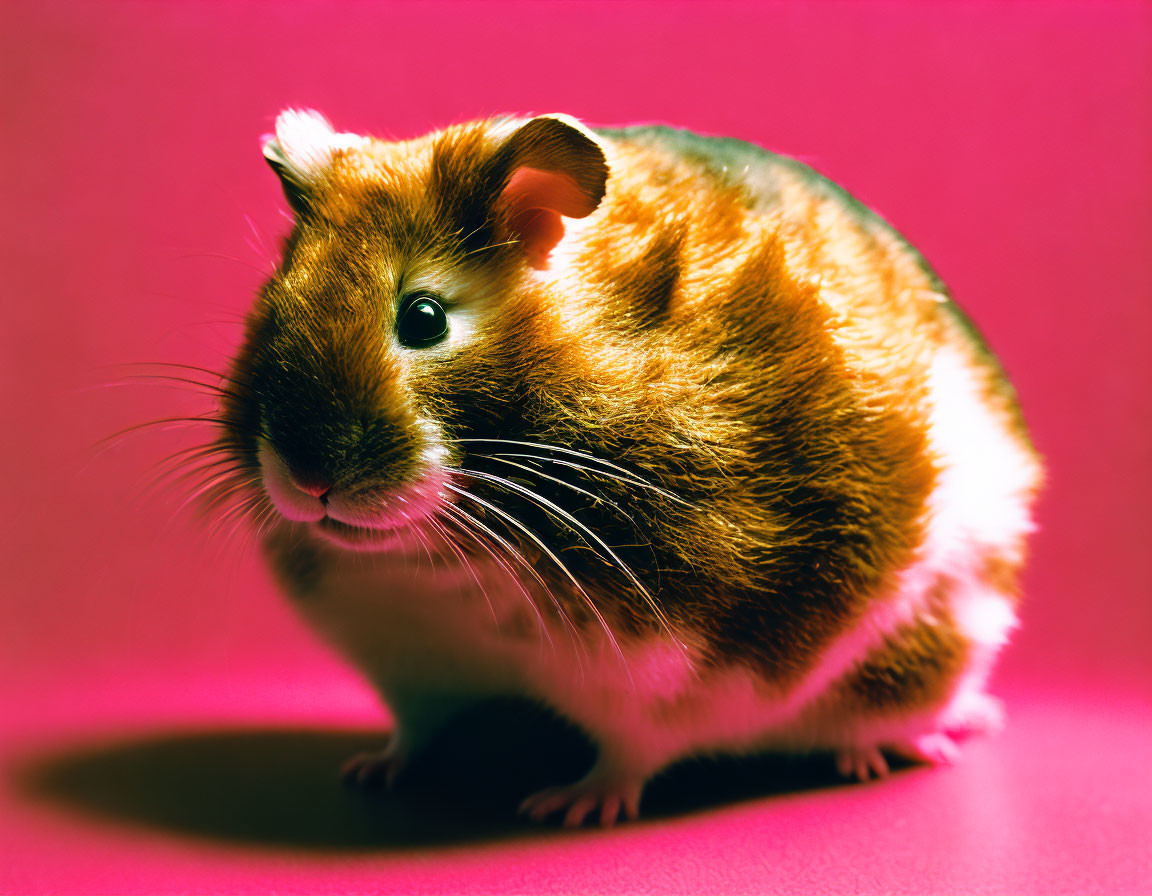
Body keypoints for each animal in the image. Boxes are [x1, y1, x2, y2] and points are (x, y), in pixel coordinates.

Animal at [209, 109, 1046, 824]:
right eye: (276, 305)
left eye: (423, 318)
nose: (308, 481)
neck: (442, 565)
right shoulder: (406, 659)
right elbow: (415, 729)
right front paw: (370, 770)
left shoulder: (671, 667)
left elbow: (630, 753)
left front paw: (565, 807)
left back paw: (890, 749)